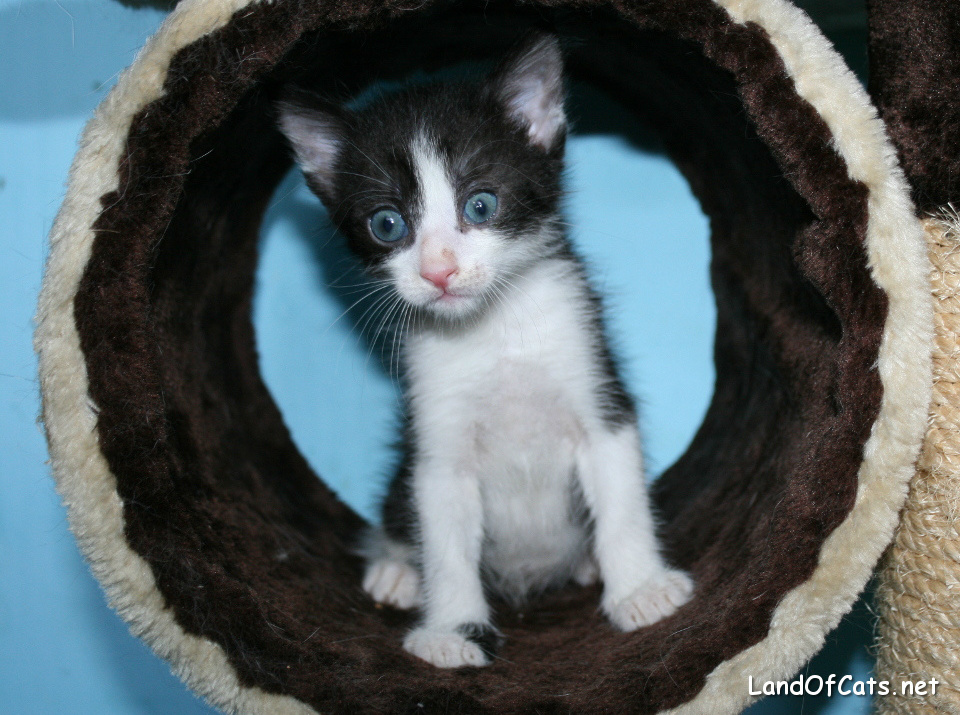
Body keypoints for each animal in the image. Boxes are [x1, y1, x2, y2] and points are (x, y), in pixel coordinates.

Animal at [278, 33, 688, 672]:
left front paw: (640, 590)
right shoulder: (438, 444)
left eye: (481, 205)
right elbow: (446, 544)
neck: (495, 334)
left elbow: (621, 500)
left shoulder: (597, 390)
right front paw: (452, 631)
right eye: (386, 223)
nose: (439, 271)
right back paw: (398, 570)